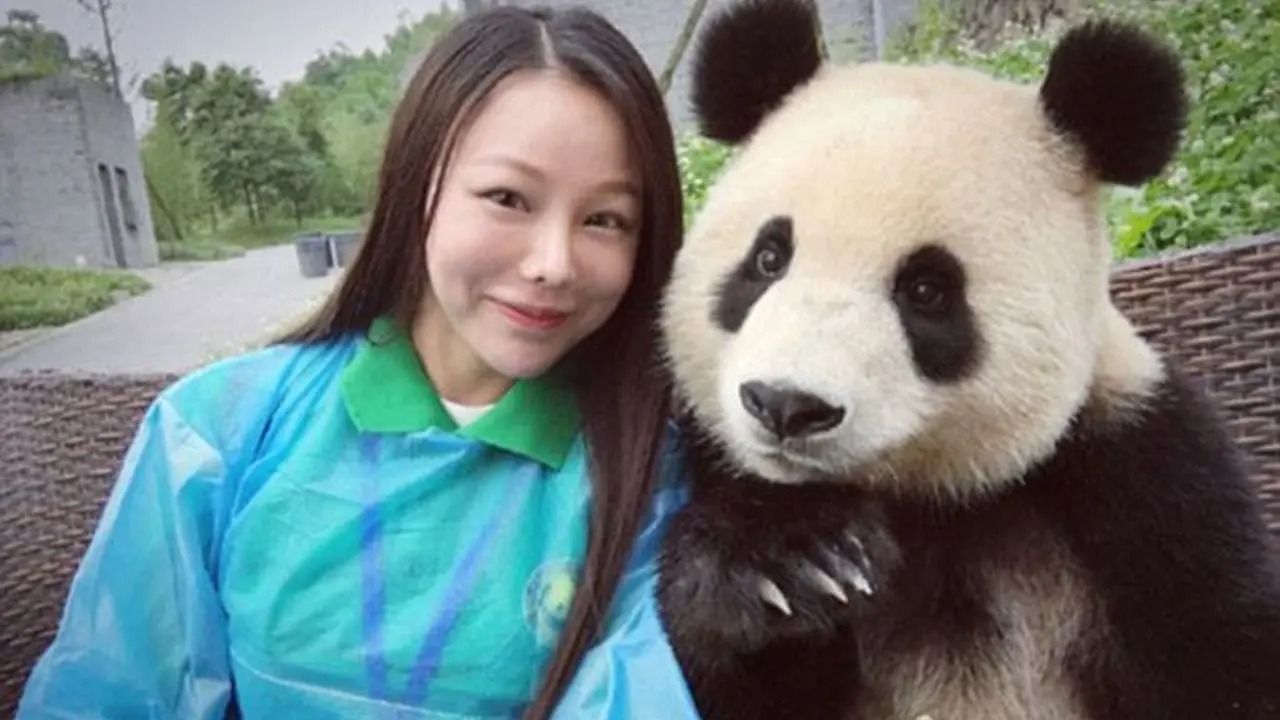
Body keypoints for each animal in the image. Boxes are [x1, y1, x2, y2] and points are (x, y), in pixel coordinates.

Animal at [653, 1, 1280, 719]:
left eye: (927, 290)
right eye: (767, 258)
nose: (786, 404)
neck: (928, 500)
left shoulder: (1144, 477)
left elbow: (1221, 656)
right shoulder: (706, 461)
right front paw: (787, 561)